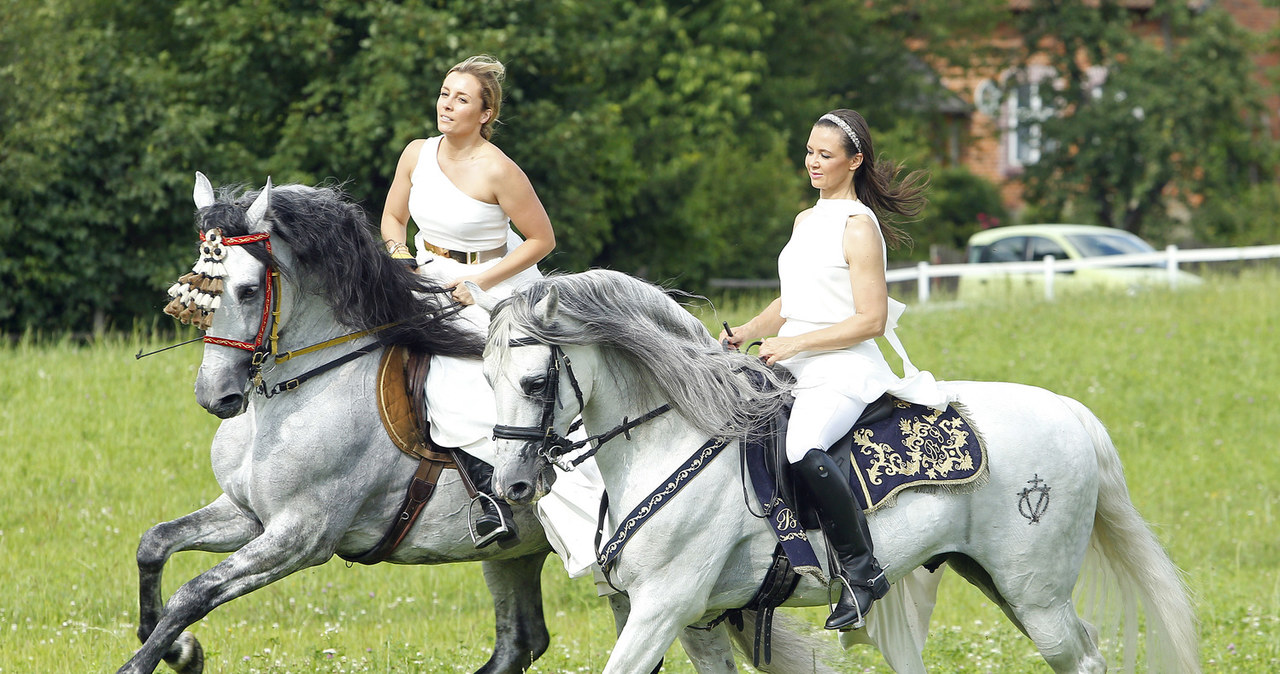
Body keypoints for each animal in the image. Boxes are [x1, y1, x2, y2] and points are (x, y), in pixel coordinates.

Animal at [478, 269, 1198, 674]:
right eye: (485, 377)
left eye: (535, 381)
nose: (511, 486)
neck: (678, 433)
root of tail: (1071, 412)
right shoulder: (696, 619)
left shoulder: (665, 604)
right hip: (997, 580)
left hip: (1036, 593)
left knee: (1082, 658)